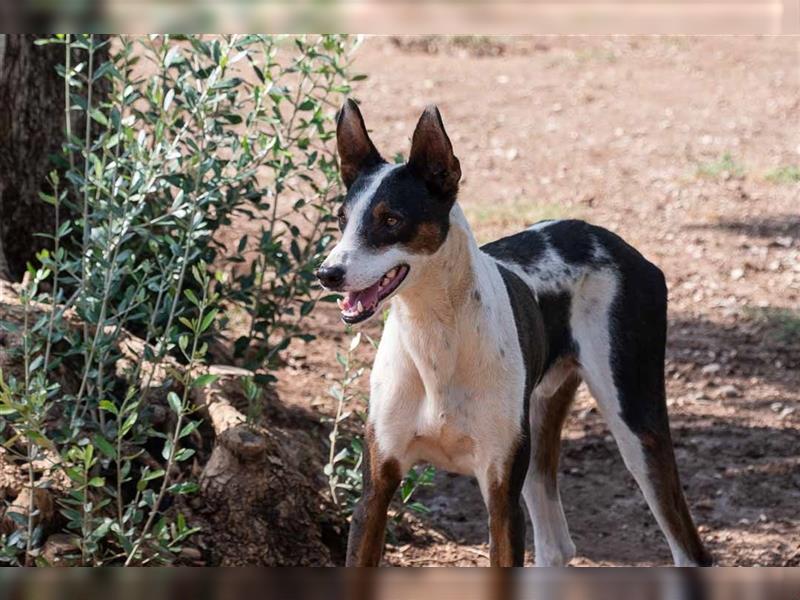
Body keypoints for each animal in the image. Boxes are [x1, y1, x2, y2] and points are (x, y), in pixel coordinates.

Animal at [318, 99, 712, 568]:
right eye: (341, 219)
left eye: (391, 219)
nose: (327, 273)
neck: (437, 338)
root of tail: (606, 239)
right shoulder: (375, 493)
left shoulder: (501, 494)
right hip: (542, 420)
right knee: (557, 545)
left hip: (636, 425)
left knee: (690, 550)